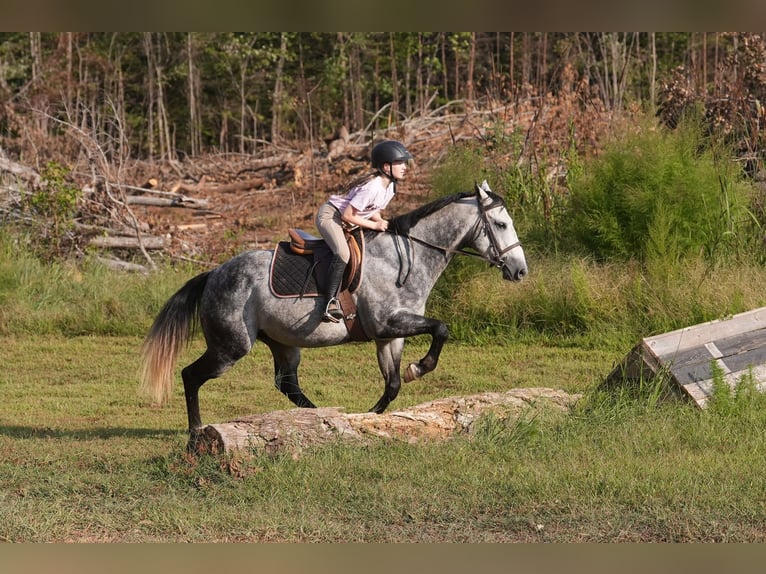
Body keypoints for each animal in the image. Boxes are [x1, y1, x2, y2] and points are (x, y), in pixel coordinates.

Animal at [140, 180, 528, 432]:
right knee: (191, 375)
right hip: (231, 346)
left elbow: (393, 384)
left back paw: (318, 418)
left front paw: (372, 415)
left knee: (287, 384)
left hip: (282, 342)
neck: (407, 256)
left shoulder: (389, 336)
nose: (520, 271)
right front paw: (420, 368)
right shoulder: (388, 324)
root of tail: (214, 274)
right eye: (501, 223)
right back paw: (195, 430)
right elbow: (441, 328)